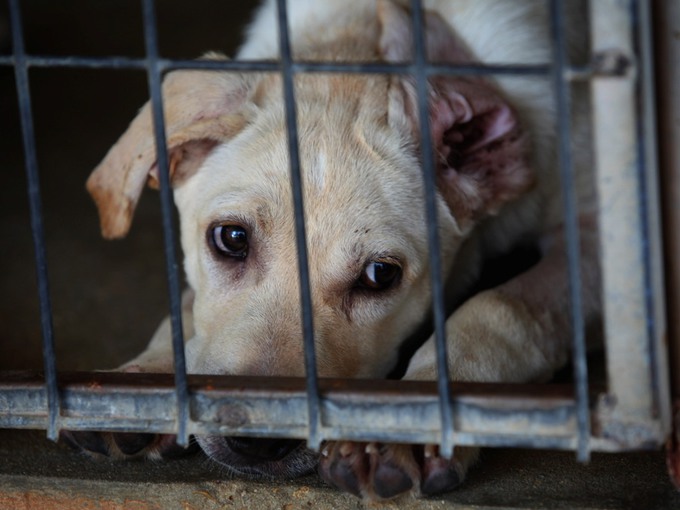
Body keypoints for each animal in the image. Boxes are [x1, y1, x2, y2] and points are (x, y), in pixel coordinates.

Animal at [67, 0, 600, 502]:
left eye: (380, 274)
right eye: (231, 238)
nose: (257, 440)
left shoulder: (595, 240)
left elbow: (501, 308)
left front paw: (409, 421)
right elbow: (187, 308)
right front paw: (143, 383)